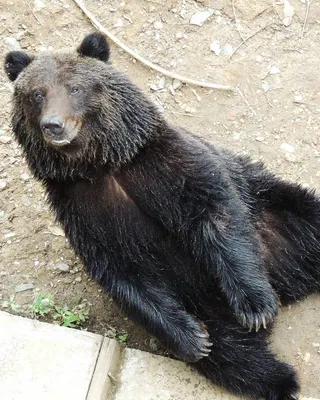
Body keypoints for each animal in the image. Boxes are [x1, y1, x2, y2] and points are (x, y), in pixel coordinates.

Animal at [3, 32, 320, 398]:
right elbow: (124, 272)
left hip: (277, 213)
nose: (53, 125)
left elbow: (217, 213)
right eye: (36, 94)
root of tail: (287, 281)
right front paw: (194, 338)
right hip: (205, 305)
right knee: (236, 359)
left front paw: (256, 308)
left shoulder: (165, 164)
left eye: (74, 88)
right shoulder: (83, 211)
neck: (99, 166)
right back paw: (280, 378)